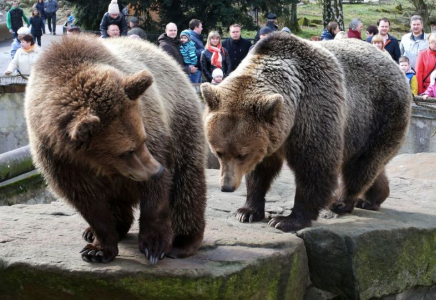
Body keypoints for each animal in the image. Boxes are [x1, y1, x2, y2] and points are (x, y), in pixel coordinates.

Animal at [24, 35, 207, 264]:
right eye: (126, 151)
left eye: (143, 140)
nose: (156, 170)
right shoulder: (59, 158)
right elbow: (89, 204)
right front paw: (97, 249)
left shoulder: (153, 125)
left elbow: (157, 193)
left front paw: (154, 246)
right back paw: (98, 231)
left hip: (181, 121)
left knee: (187, 183)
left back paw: (183, 241)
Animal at [201, 34, 412, 233]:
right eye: (219, 152)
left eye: (242, 154)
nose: (226, 186)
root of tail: (394, 65)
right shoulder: (271, 136)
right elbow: (260, 171)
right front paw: (247, 211)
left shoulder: (314, 111)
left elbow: (315, 167)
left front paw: (286, 220)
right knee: (371, 166)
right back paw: (372, 199)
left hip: (379, 116)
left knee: (362, 165)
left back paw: (341, 202)